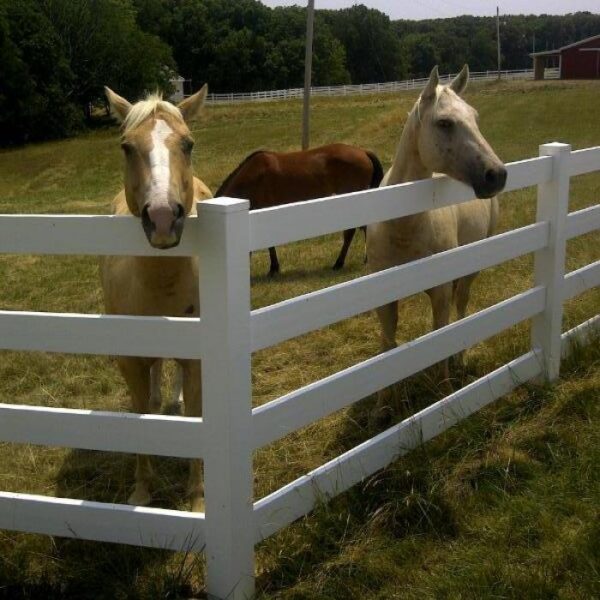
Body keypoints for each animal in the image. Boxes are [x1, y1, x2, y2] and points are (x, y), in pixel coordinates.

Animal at [366, 63, 506, 386]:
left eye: (475, 117)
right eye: (444, 123)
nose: (497, 174)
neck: (402, 228)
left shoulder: (440, 292)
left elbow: (440, 336)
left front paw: (443, 387)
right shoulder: (384, 300)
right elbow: (387, 345)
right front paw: (385, 399)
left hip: (469, 272)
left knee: (462, 306)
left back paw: (460, 358)